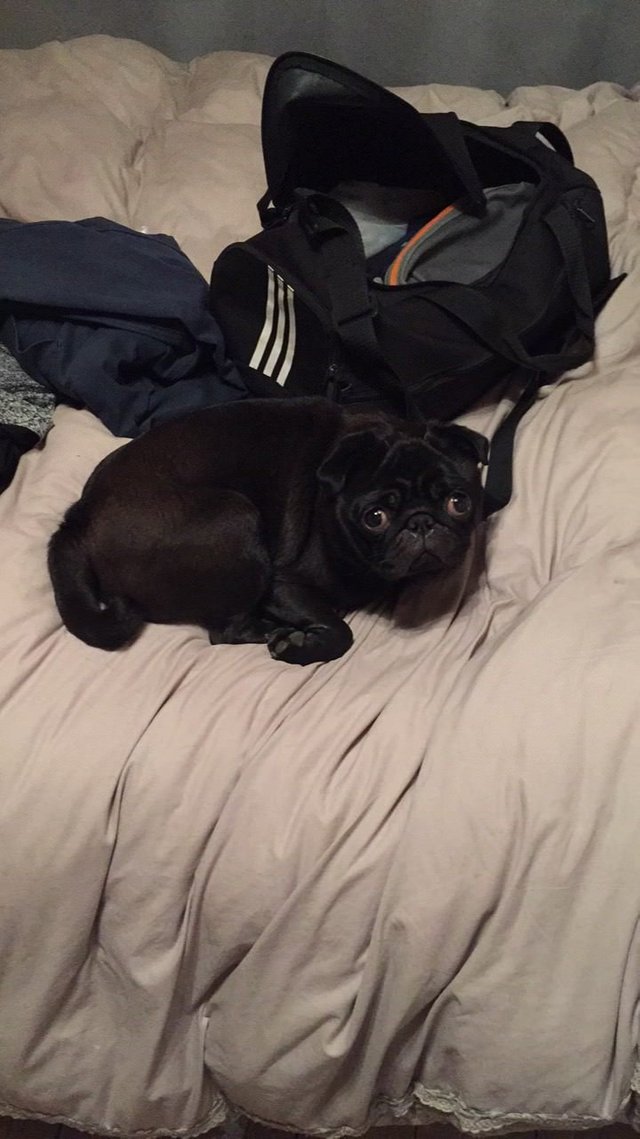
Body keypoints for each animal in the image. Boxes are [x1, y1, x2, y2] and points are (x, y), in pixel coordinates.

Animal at [47, 396, 485, 665]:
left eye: (459, 502)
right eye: (374, 518)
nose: (421, 521)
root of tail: (79, 517)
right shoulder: (283, 583)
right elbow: (341, 631)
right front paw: (300, 645)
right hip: (235, 519)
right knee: (225, 631)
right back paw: (273, 631)